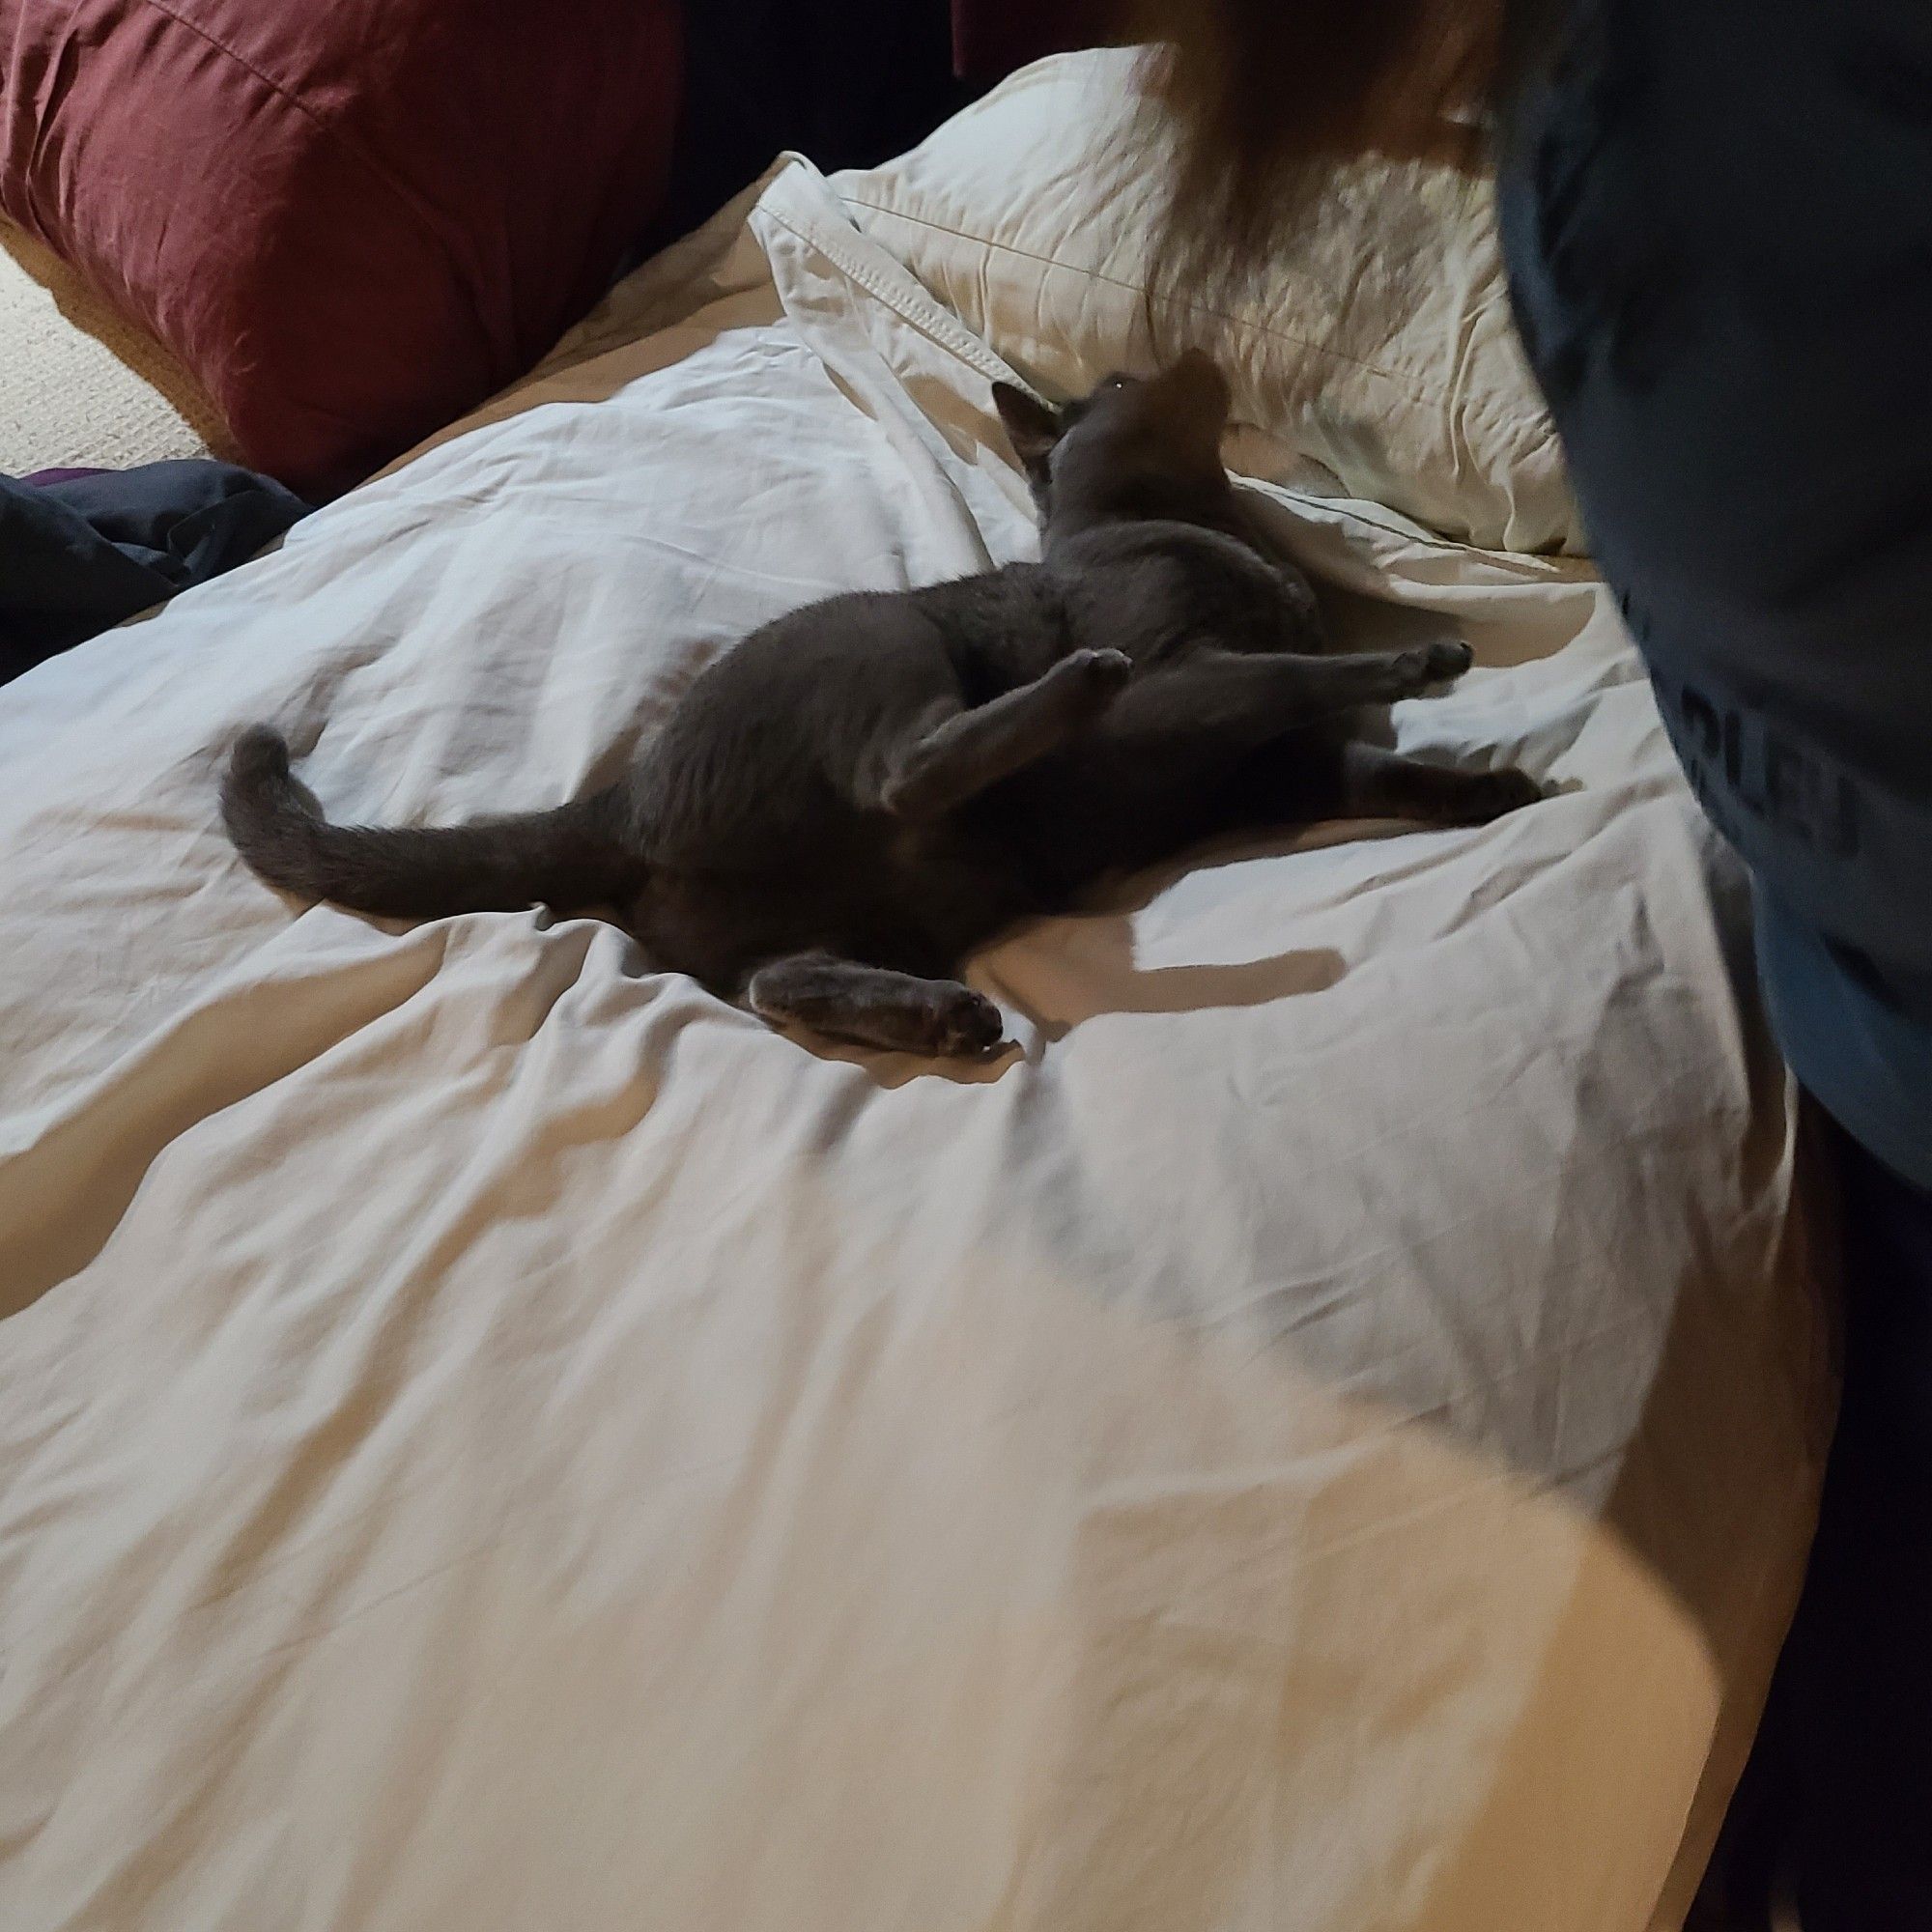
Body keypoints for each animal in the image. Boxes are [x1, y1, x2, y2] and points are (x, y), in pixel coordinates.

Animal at [222, 355, 1538, 1066]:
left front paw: (1487, 786)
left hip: (866, 910)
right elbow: (1285, 675)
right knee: (903, 768)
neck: (1202, 525)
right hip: (875, 635)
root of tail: (620, 796)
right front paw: (1419, 659)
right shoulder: (1188, 681)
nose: (1167, 358)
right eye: (1118, 385)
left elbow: (1368, 770)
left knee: (776, 979)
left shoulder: (1277, 773)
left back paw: (935, 1017)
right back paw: (1074, 687)